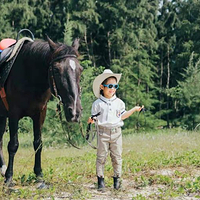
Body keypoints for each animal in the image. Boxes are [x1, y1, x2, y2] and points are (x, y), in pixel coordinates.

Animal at [0, 36, 82, 186]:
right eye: (56, 70)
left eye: (81, 69)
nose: (74, 112)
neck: (28, 75)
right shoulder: (13, 114)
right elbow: (13, 145)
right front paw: (9, 177)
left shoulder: (39, 114)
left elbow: (38, 144)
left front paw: (39, 175)